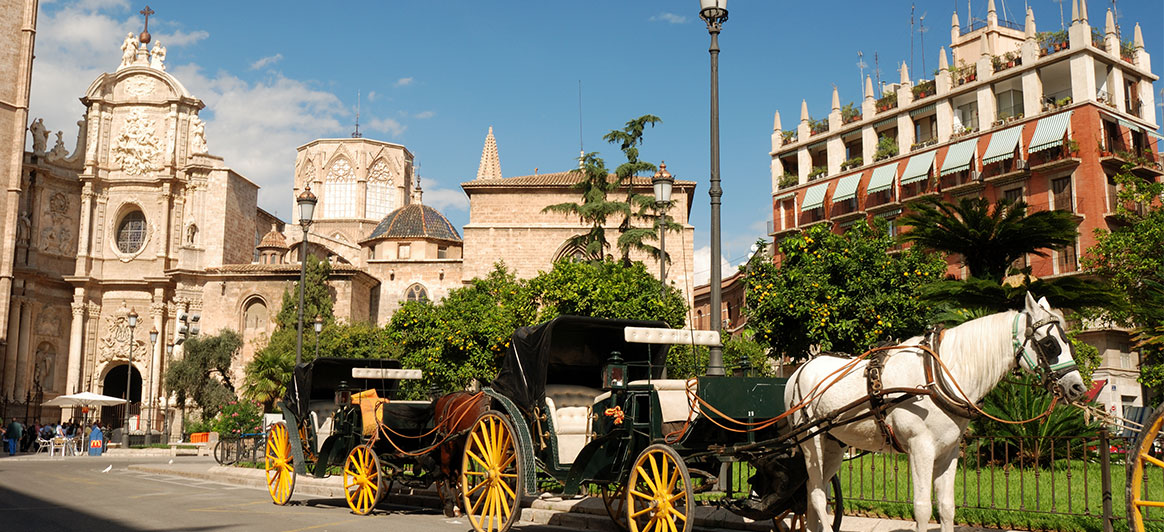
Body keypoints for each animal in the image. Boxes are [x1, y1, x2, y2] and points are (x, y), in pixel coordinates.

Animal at [784, 293, 1088, 532]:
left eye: (1068, 343)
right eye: (1050, 345)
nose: (1077, 388)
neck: (937, 375)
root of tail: (798, 371)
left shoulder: (949, 451)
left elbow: (946, 507)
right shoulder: (920, 449)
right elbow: (922, 508)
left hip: (834, 444)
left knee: (814, 492)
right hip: (811, 441)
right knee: (817, 494)